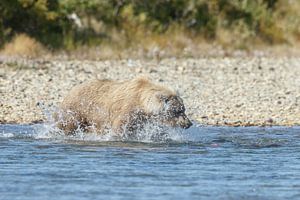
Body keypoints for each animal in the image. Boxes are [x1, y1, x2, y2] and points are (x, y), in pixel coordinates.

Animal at [54, 76, 192, 136]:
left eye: (183, 109)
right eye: (177, 111)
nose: (188, 123)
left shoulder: (141, 118)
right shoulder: (127, 109)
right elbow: (120, 126)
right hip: (77, 110)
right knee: (68, 124)